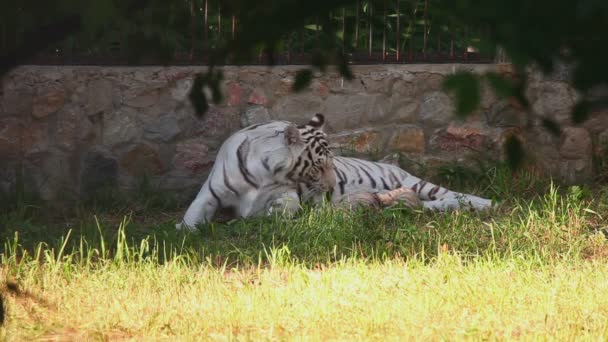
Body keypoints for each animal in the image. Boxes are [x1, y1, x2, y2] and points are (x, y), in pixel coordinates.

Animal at [176, 114, 334, 230]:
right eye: (318, 167)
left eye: (331, 163)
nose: (331, 186)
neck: (267, 172)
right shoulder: (211, 193)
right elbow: (193, 214)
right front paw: (185, 231)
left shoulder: (286, 190)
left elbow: (292, 201)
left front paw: (274, 212)